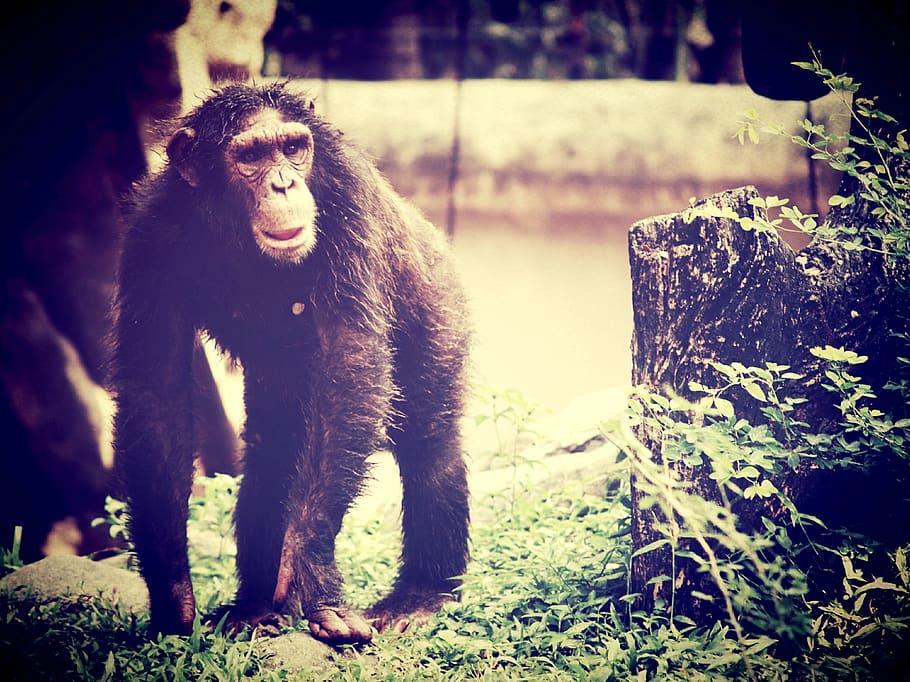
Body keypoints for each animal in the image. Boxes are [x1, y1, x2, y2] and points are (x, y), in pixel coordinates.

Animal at [111, 82, 471, 644]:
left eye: (293, 148)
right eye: (252, 157)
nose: (283, 183)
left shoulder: (348, 197)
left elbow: (350, 355)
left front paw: (311, 571)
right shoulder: (150, 237)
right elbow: (157, 391)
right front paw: (174, 600)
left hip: (440, 310)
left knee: (430, 444)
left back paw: (421, 596)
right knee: (273, 457)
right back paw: (258, 606)